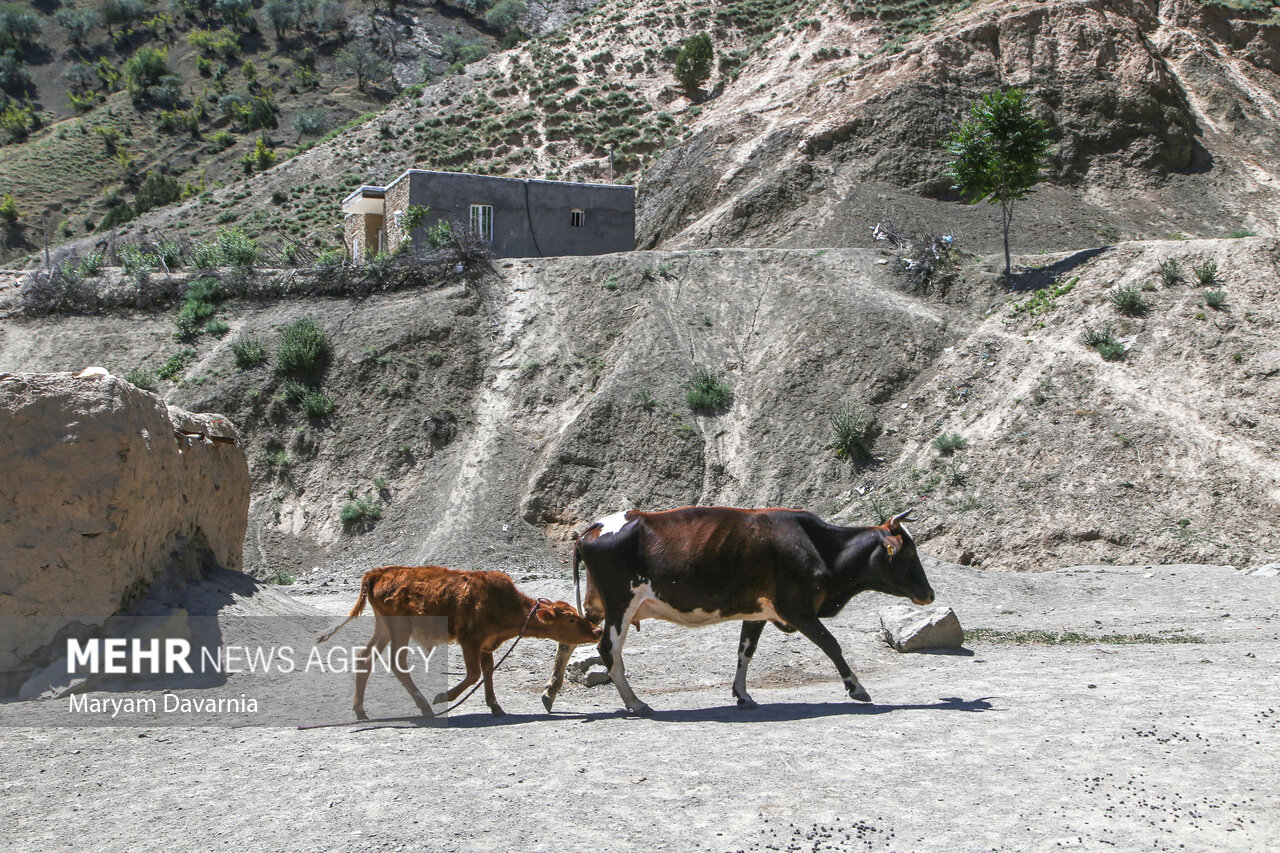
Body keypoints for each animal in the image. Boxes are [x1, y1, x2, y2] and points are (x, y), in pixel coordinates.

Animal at [317, 563, 601, 717]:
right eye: (571, 619)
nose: (597, 630)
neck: (503, 603)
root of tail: (378, 573)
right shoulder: (469, 640)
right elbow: (473, 674)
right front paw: (443, 696)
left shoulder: (486, 644)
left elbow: (487, 672)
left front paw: (495, 706)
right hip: (400, 630)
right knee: (397, 664)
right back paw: (426, 706)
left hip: (384, 628)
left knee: (364, 658)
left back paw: (360, 710)